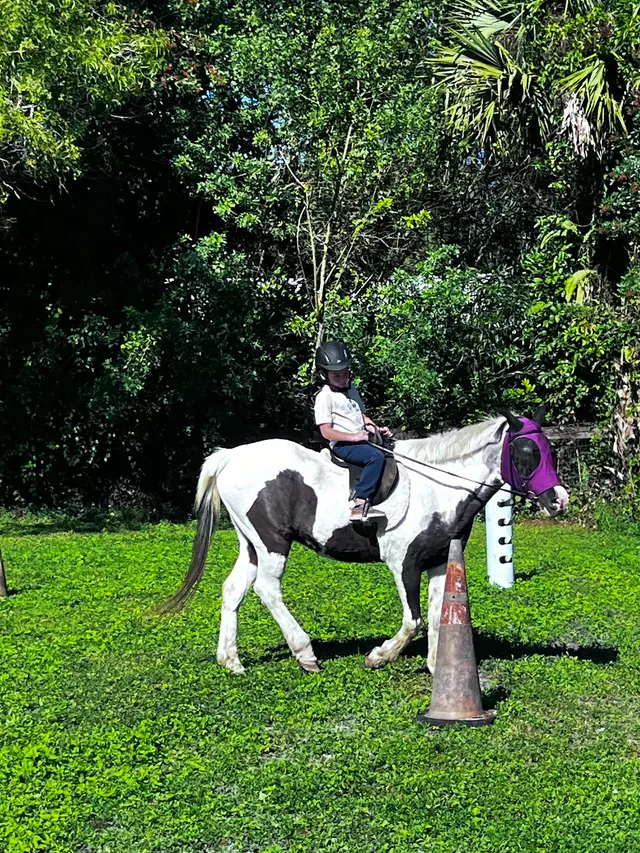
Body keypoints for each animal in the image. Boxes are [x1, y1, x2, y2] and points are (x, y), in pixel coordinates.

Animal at [159, 407, 569, 674]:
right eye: (527, 452)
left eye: (549, 450)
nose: (559, 500)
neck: (437, 485)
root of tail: (229, 458)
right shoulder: (404, 563)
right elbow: (413, 620)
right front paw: (379, 656)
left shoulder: (439, 560)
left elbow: (438, 614)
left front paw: (439, 668)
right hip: (272, 542)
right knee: (267, 589)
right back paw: (305, 653)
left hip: (251, 544)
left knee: (234, 589)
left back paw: (231, 661)